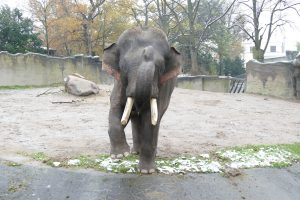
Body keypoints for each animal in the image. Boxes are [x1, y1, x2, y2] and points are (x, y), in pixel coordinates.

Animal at [103, 27, 182, 173]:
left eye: (160, 67)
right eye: (124, 66)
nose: (147, 51)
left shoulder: (161, 87)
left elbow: (150, 118)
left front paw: (146, 171)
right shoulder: (119, 83)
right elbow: (116, 106)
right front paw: (120, 155)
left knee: (156, 119)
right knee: (135, 118)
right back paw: (135, 152)